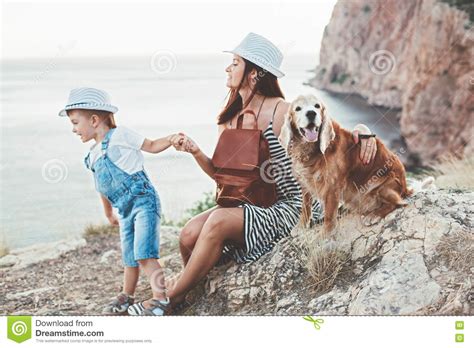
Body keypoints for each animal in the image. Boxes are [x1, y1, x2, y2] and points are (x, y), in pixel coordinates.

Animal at [280, 95, 412, 237]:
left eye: (317, 106)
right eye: (298, 108)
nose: (311, 113)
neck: (312, 150)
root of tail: (405, 187)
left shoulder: (332, 186)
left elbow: (329, 215)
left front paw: (326, 235)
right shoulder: (305, 182)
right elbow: (305, 205)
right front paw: (301, 225)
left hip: (384, 186)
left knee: (398, 203)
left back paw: (374, 215)